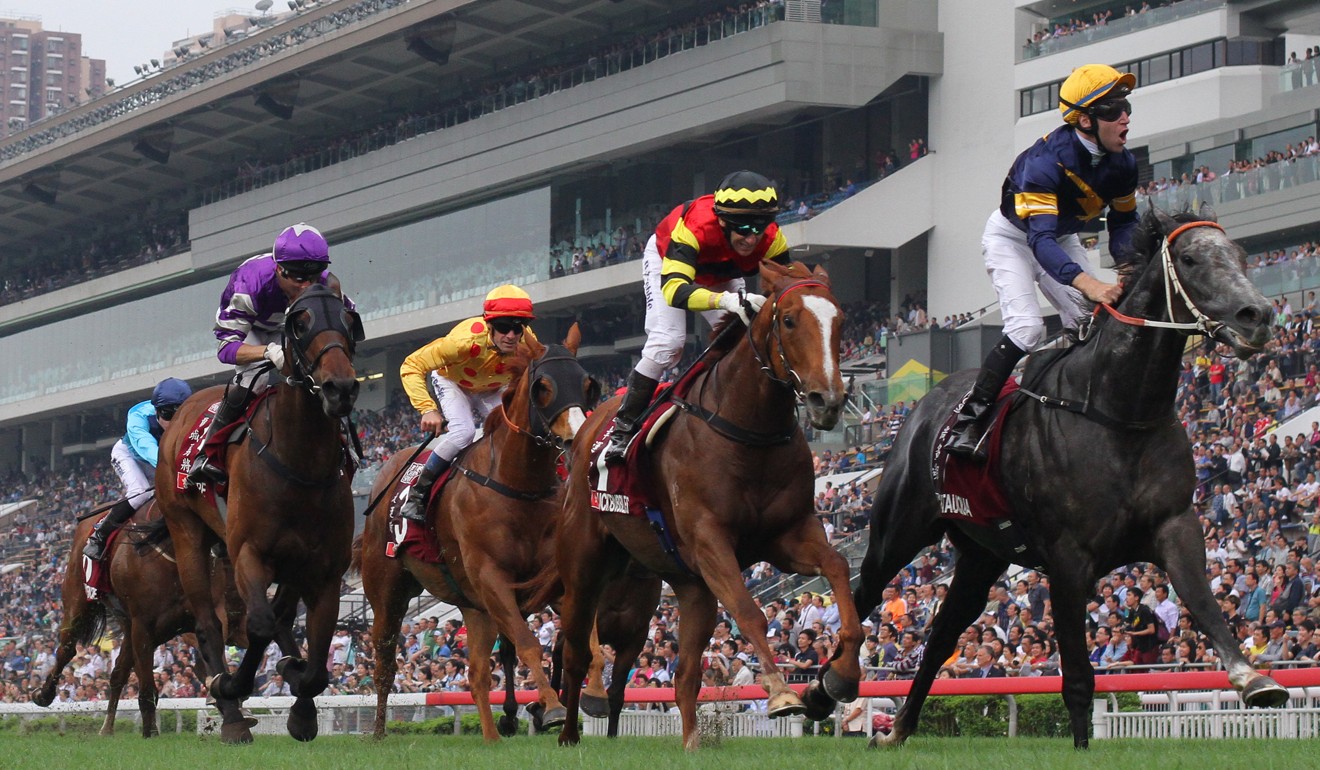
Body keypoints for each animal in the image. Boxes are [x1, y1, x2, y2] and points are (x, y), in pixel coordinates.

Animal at [153, 285, 361, 744]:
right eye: (300, 323)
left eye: (348, 318)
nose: (340, 388)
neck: (299, 463)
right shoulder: (250, 551)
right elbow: (260, 626)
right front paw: (231, 684)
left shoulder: (323, 569)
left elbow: (316, 661)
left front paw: (301, 706)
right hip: (188, 534)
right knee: (209, 624)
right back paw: (230, 713)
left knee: (278, 618)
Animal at [351, 323, 599, 739]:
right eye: (543, 386)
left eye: (586, 383)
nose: (575, 438)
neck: (516, 483)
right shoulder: (491, 576)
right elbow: (529, 643)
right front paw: (549, 708)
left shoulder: (548, 579)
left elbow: (584, 641)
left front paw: (590, 695)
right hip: (386, 590)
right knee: (385, 661)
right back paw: (380, 732)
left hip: (471, 604)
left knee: (478, 673)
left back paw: (493, 735)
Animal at [551, 261, 860, 750]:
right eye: (790, 320)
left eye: (841, 322)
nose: (826, 401)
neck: (748, 430)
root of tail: (587, 430)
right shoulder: (711, 540)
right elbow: (749, 610)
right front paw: (781, 693)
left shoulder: (788, 534)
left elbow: (838, 567)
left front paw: (839, 677)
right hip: (583, 564)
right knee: (577, 651)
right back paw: (568, 731)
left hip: (690, 586)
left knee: (684, 676)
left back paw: (692, 743)